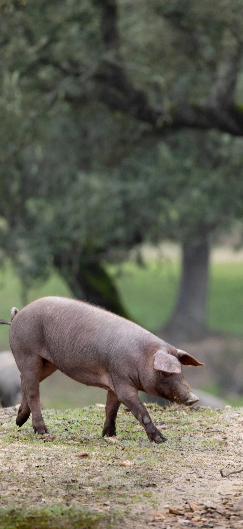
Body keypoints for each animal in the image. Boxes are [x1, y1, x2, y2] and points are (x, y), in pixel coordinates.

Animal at [0, 296, 204, 442]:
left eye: (181, 371)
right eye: (165, 372)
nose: (194, 398)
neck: (140, 357)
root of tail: (17, 314)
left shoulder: (113, 383)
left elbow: (111, 408)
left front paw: (109, 435)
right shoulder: (122, 382)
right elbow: (140, 411)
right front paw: (162, 439)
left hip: (48, 363)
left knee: (25, 382)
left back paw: (19, 421)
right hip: (27, 353)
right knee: (33, 391)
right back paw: (42, 431)